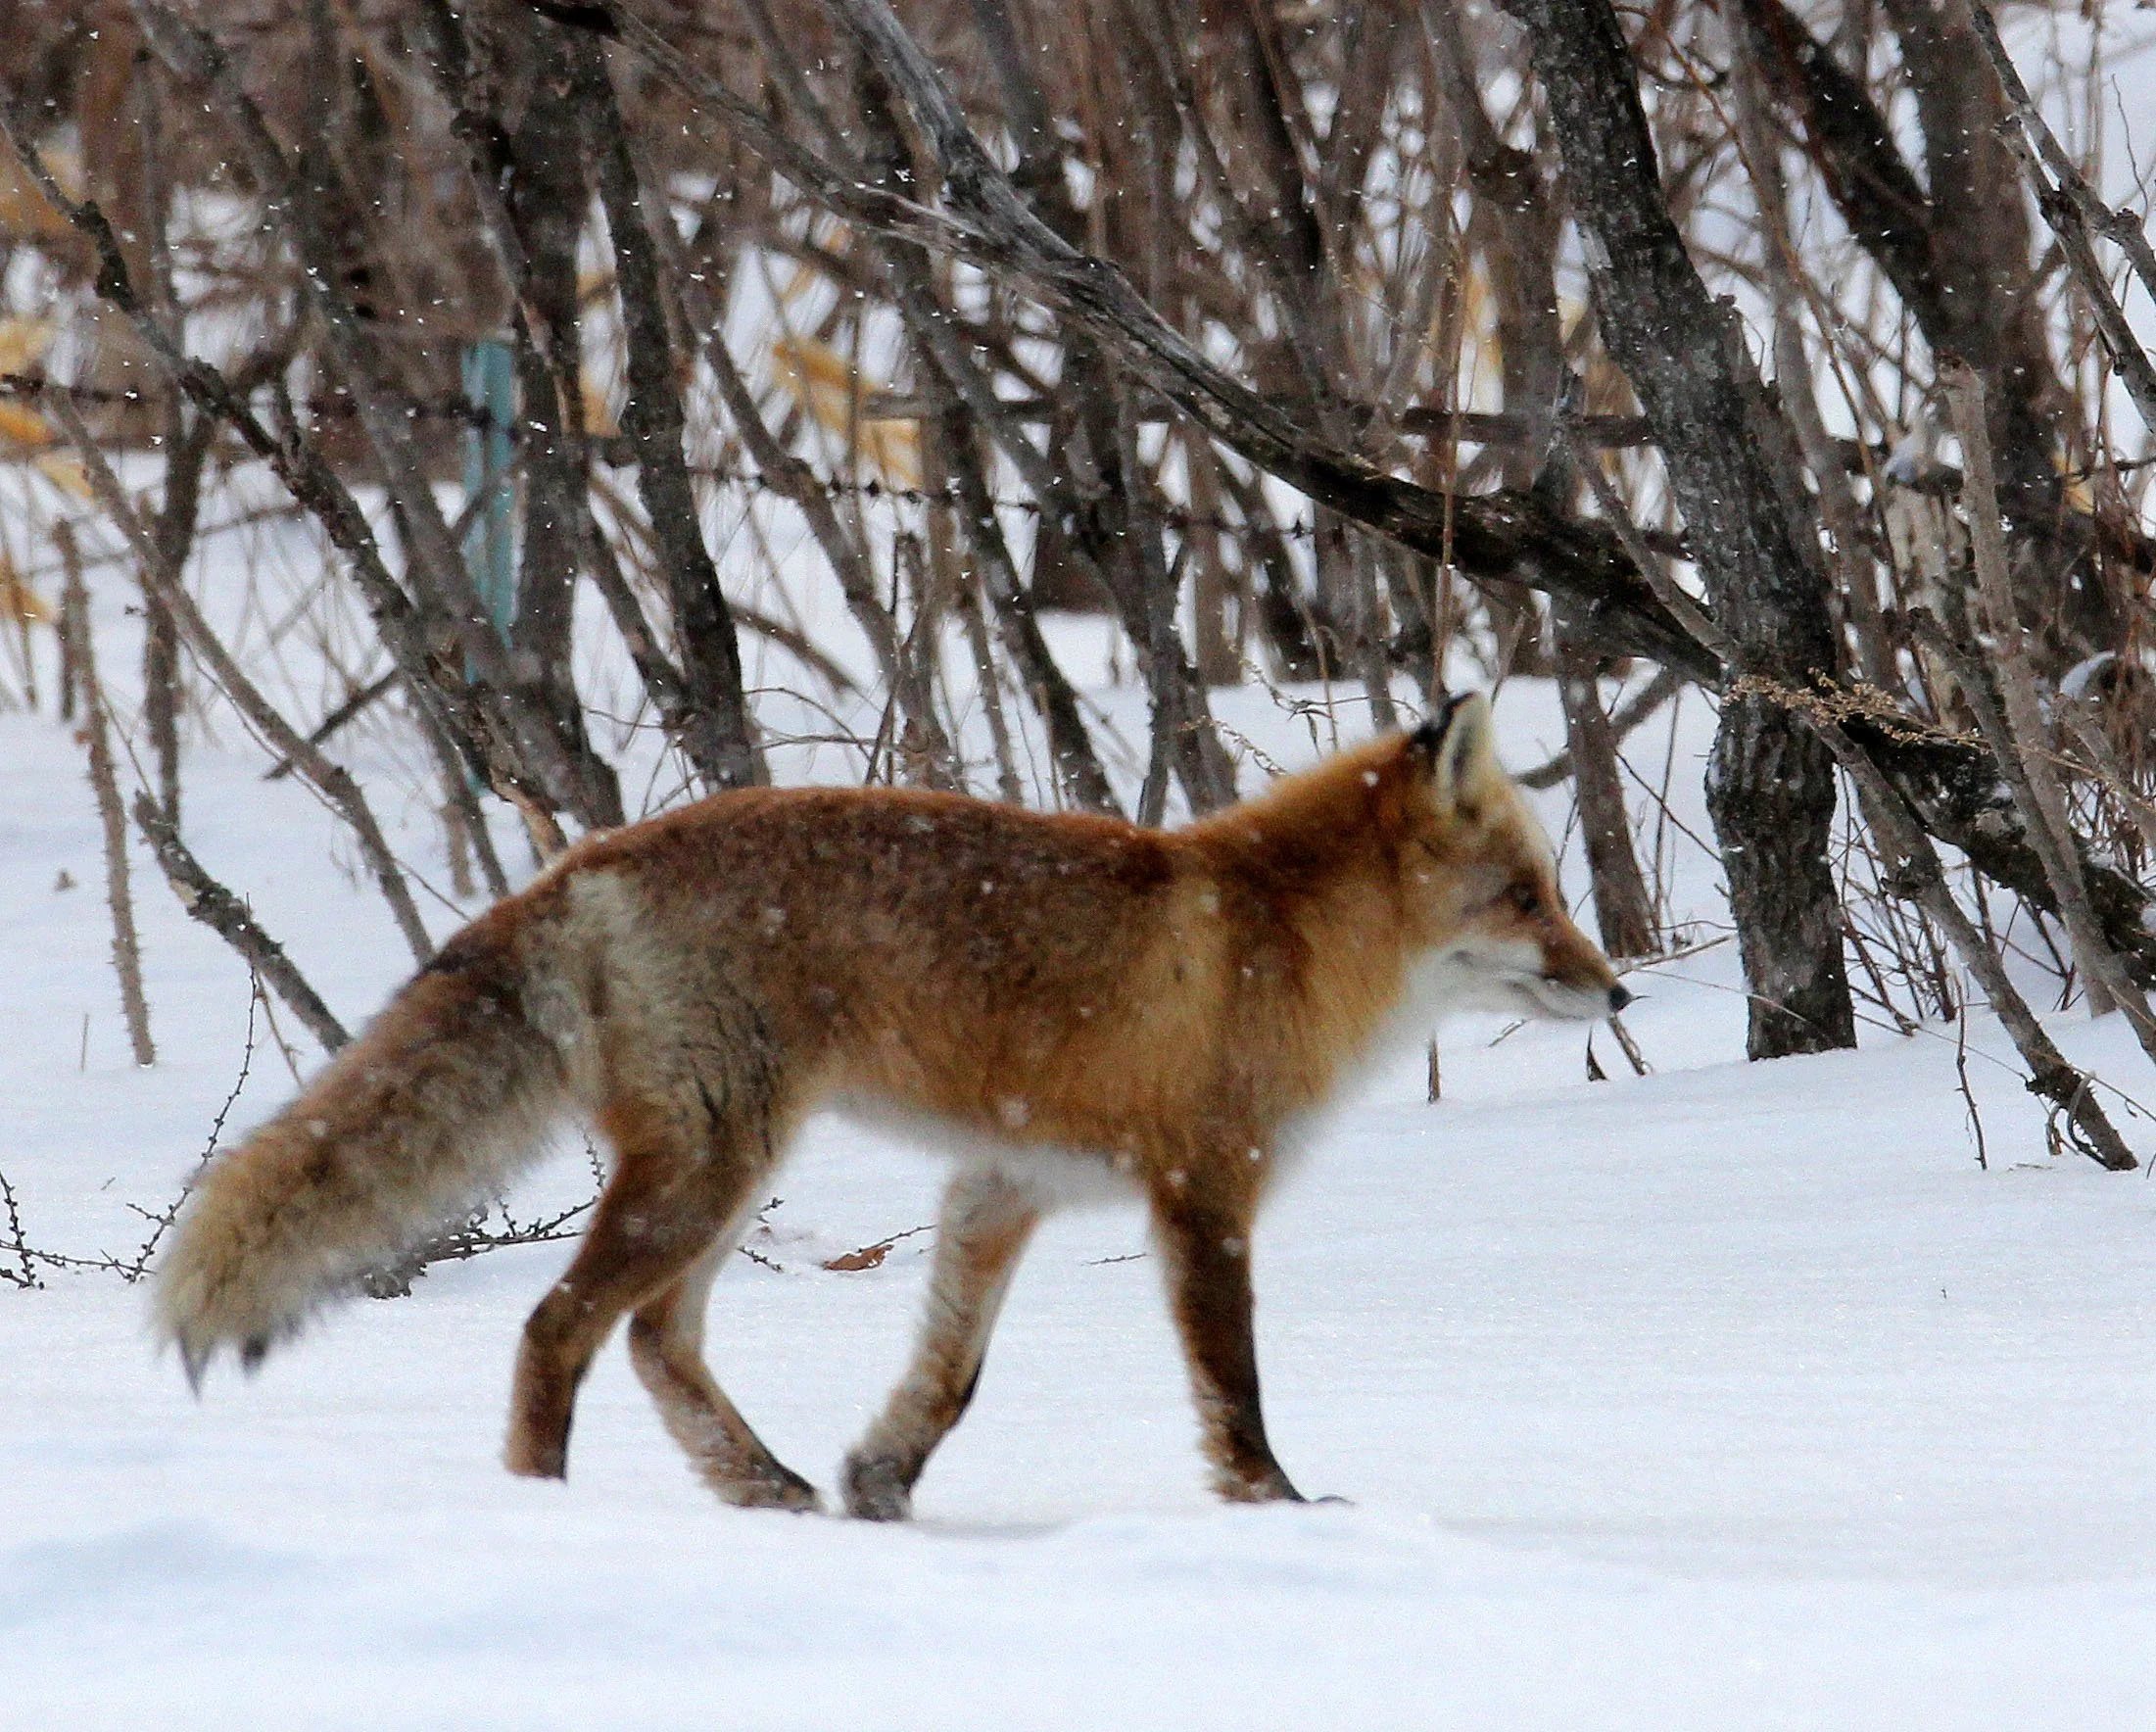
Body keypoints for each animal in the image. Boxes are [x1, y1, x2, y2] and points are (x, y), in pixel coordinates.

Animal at [156, 693, 1625, 1516]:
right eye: (1526, 898)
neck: (1278, 935)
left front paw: (880, 1488)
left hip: (724, 1173)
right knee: (557, 1331)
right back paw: (551, 1521)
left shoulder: (1001, 1184)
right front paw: (1281, 1509)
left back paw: (765, 1491)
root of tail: (583, 859)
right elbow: (1234, 1384)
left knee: (655, 1342)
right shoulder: (1204, 1190)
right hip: (711, 1167)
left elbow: (951, 1379)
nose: (1614, 990)